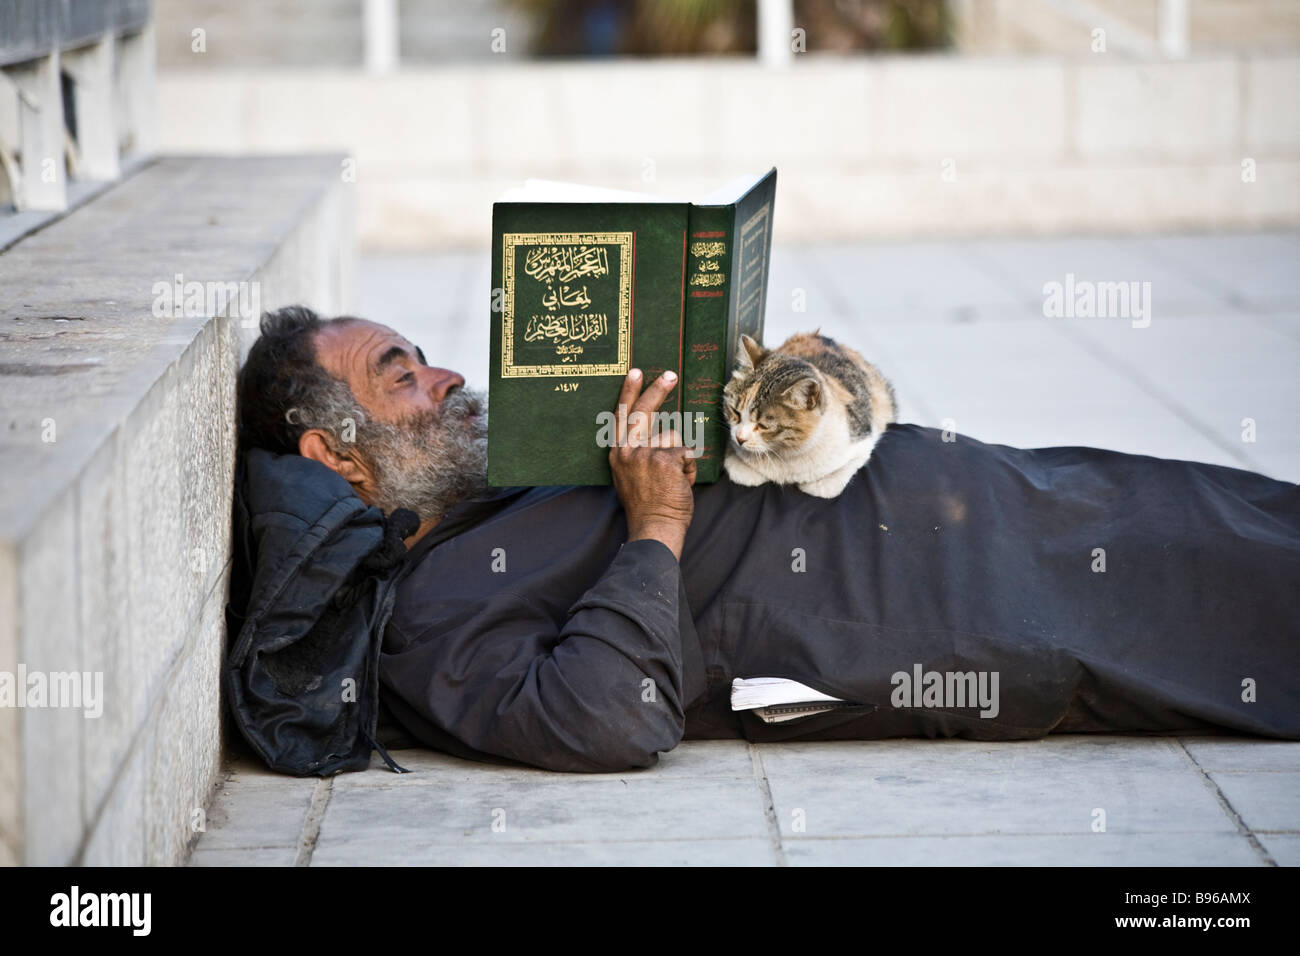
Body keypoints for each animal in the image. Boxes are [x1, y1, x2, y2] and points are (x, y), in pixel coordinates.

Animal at [717, 330, 899, 496]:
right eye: (735, 412)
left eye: (762, 425)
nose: (740, 438)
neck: (786, 455)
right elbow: (739, 469)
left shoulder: (862, 439)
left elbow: (834, 480)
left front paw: (820, 484)